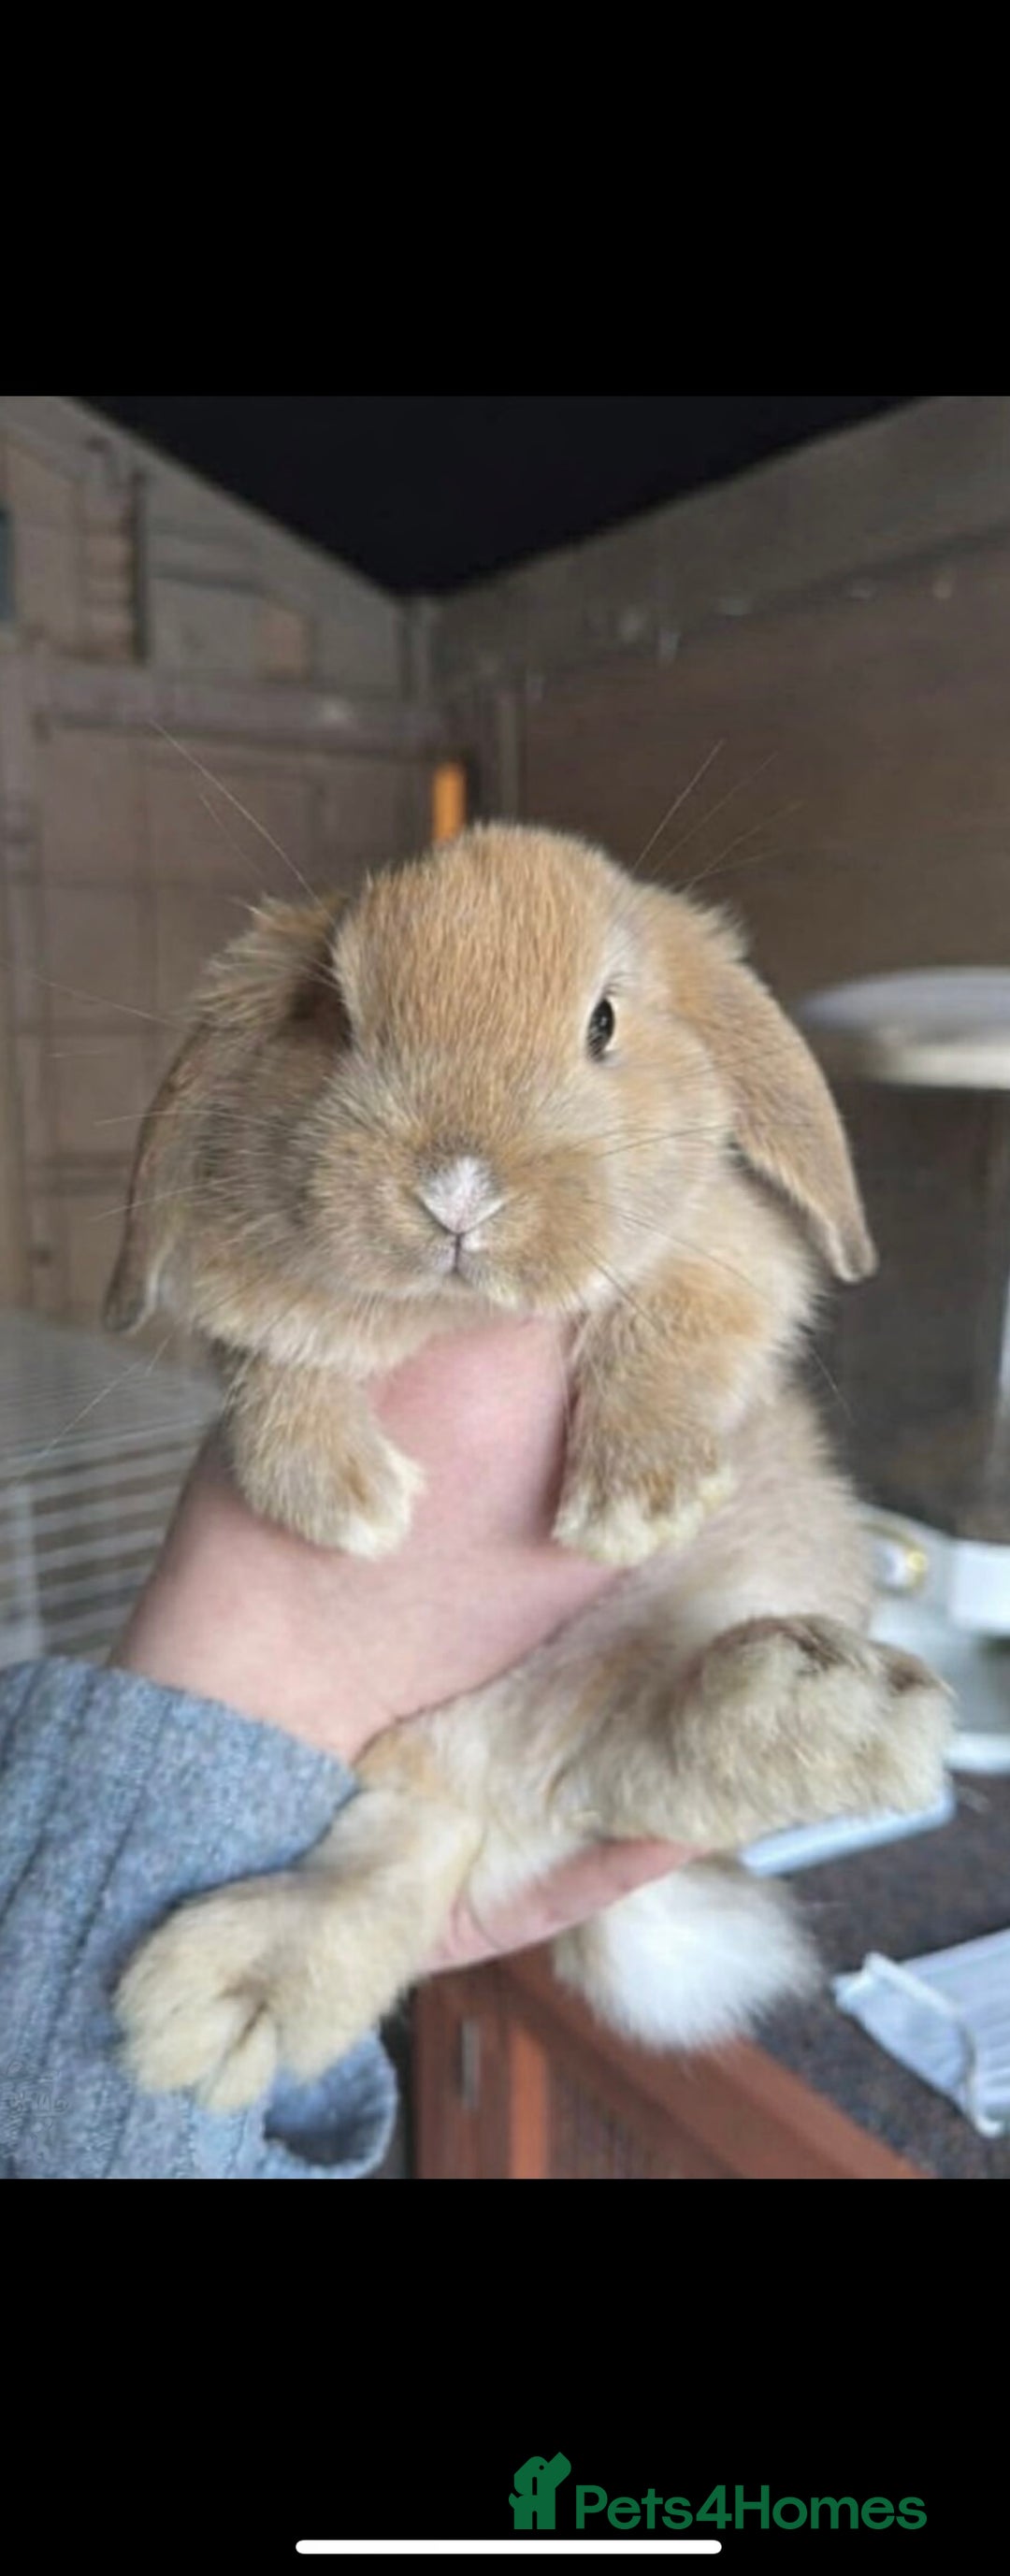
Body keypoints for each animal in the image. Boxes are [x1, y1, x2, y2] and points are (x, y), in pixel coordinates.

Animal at [109, 822, 951, 2112]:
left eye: (603, 1020)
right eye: (332, 1015)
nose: (458, 1189)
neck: (454, 1314)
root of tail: (488, 1795)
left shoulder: (730, 1263)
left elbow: (674, 1321)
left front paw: (637, 1498)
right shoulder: (242, 1306)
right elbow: (280, 1363)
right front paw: (341, 1498)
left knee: (643, 1769)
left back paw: (820, 1716)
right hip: (426, 1782)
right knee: (402, 1865)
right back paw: (218, 2007)